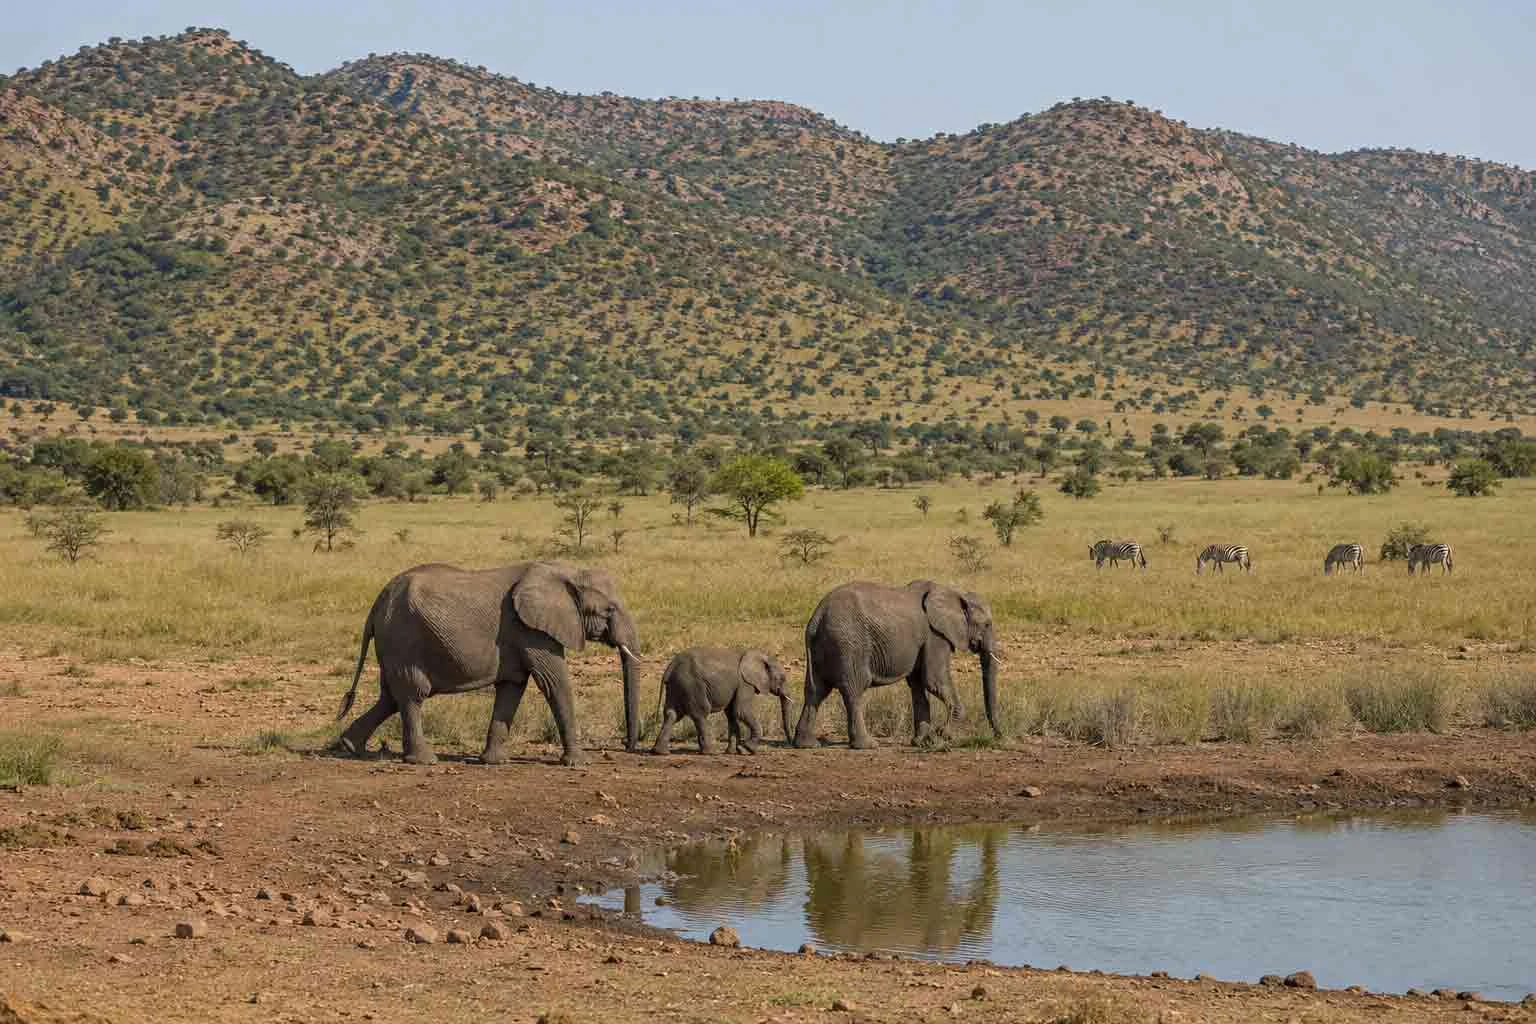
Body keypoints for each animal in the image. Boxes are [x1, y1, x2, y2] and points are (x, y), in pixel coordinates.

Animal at [333, 560, 641, 766]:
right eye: (609, 610)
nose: (627, 745)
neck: (567, 572)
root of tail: (376, 604)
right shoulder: (531, 630)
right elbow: (554, 682)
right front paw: (578, 764)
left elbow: (512, 687)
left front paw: (495, 762)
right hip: (403, 639)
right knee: (412, 695)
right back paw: (424, 761)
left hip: (394, 646)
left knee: (390, 698)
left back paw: (351, 747)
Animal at [651, 647, 792, 755]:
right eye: (782, 678)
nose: (791, 743)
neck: (762, 656)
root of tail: (670, 667)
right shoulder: (745, 683)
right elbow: (741, 711)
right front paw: (748, 749)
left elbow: (732, 714)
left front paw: (734, 752)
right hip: (691, 685)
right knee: (700, 714)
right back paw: (710, 752)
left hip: (677, 686)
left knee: (672, 714)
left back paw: (661, 752)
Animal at [793, 580, 1000, 749]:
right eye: (987, 625)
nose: (998, 736)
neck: (956, 593)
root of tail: (817, 617)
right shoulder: (936, 635)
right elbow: (933, 680)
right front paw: (944, 734)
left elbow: (918, 685)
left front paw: (922, 742)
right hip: (849, 644)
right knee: (854, 690)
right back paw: (867, 745)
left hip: (824, 645)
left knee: (816, 691)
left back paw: (807, 745)